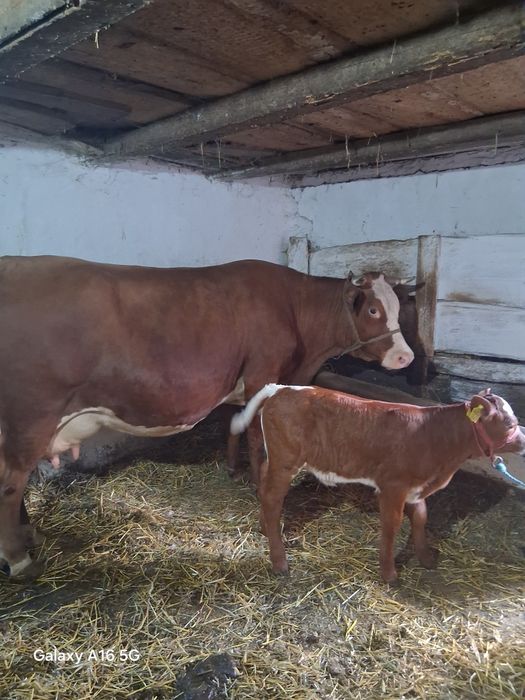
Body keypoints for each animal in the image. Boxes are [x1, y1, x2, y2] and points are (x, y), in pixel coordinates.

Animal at [0, 256, 413, 580]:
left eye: (400, 308)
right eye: (373, 310)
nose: (406, 357)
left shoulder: (240, 379)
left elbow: (234, 422)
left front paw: (232, 469)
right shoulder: (264, 373)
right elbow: (255, 437)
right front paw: (256, 484)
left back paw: (30, 535)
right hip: (32, 416)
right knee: (11, 482)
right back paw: (19, 557)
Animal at [230, 385, 525, 583]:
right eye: (510, 423)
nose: (523, 442)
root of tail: (281, 388)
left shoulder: (416, 487)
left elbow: (421, 518)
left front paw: (426, 559)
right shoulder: (393, 486)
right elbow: (392, 526)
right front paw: (389, 573)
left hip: (278, 460)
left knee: (264, 483)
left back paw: (264, 529)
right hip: (286, 462)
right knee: (272, 499)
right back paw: (279, 562)